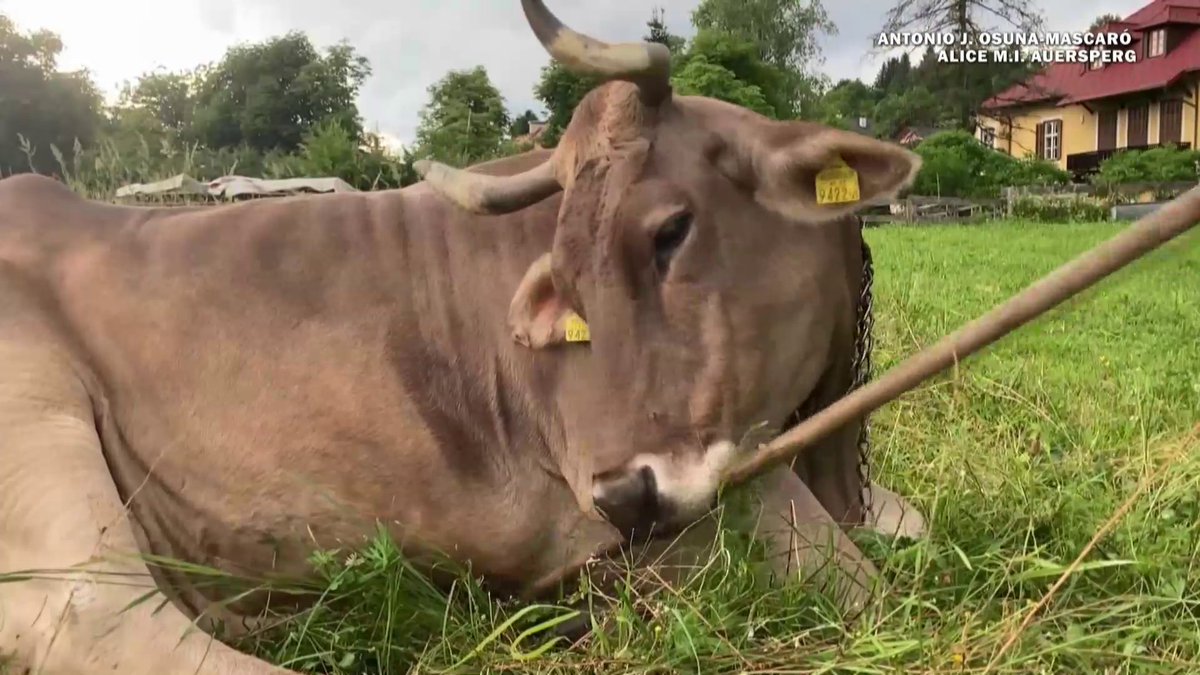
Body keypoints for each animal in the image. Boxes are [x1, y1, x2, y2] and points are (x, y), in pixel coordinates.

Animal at [0, 1, 926, 672]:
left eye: (670, 231)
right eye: (569, 274)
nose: (622, 495)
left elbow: (904, 525)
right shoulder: (664, 507)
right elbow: (862, 583)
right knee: (102, 625)